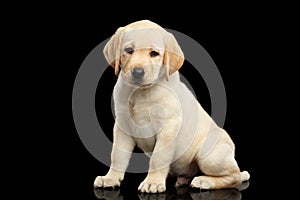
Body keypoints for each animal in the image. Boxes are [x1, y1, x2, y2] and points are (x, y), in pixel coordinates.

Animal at [94, 19, 248, 192]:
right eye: (128, 50)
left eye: (154, 53)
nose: (137, 72)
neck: (141, 92)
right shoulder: (122, 125)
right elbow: (117, 155)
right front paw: (110, 178)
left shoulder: (168, 127)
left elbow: (158, 158)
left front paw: (152, 182)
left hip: (209, 155)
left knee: (234, 176)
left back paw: (204, 181)